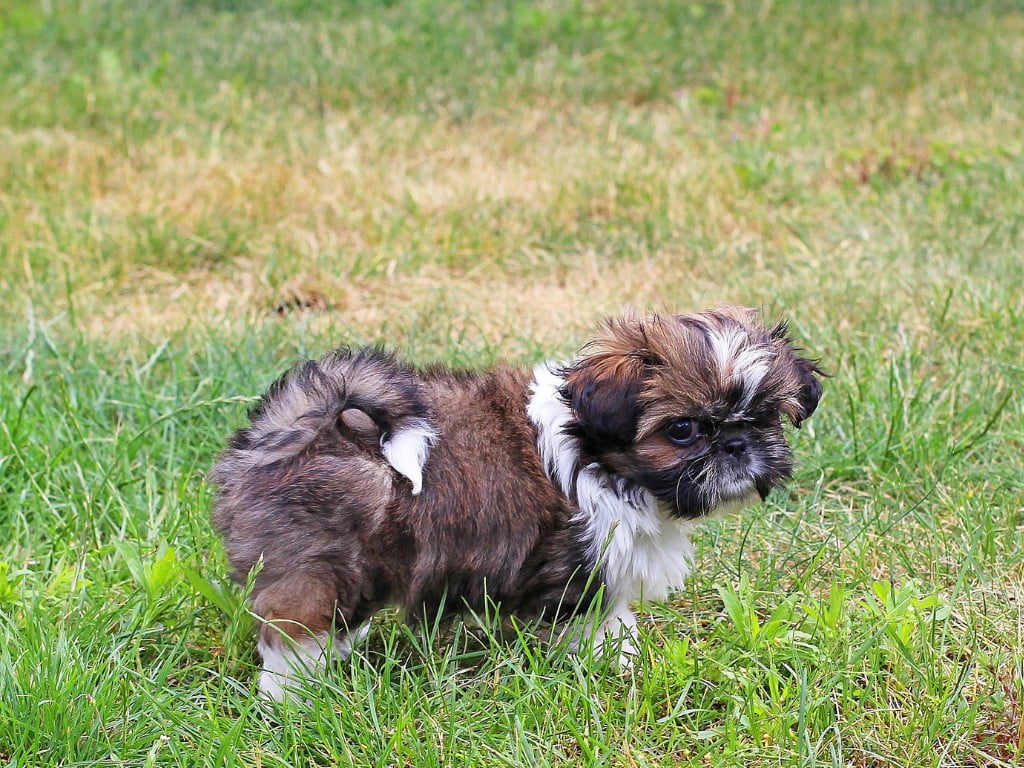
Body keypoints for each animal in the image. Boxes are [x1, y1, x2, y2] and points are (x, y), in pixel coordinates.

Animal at [209, 305, 823, 696]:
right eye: (682, 430)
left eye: (764, 416)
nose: (738, 444)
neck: (599, 457)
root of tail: (296, 428)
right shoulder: (581, 567)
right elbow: (600, 623)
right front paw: (620, 667)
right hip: (317, 564)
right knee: (291, 633)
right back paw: (294, 698)